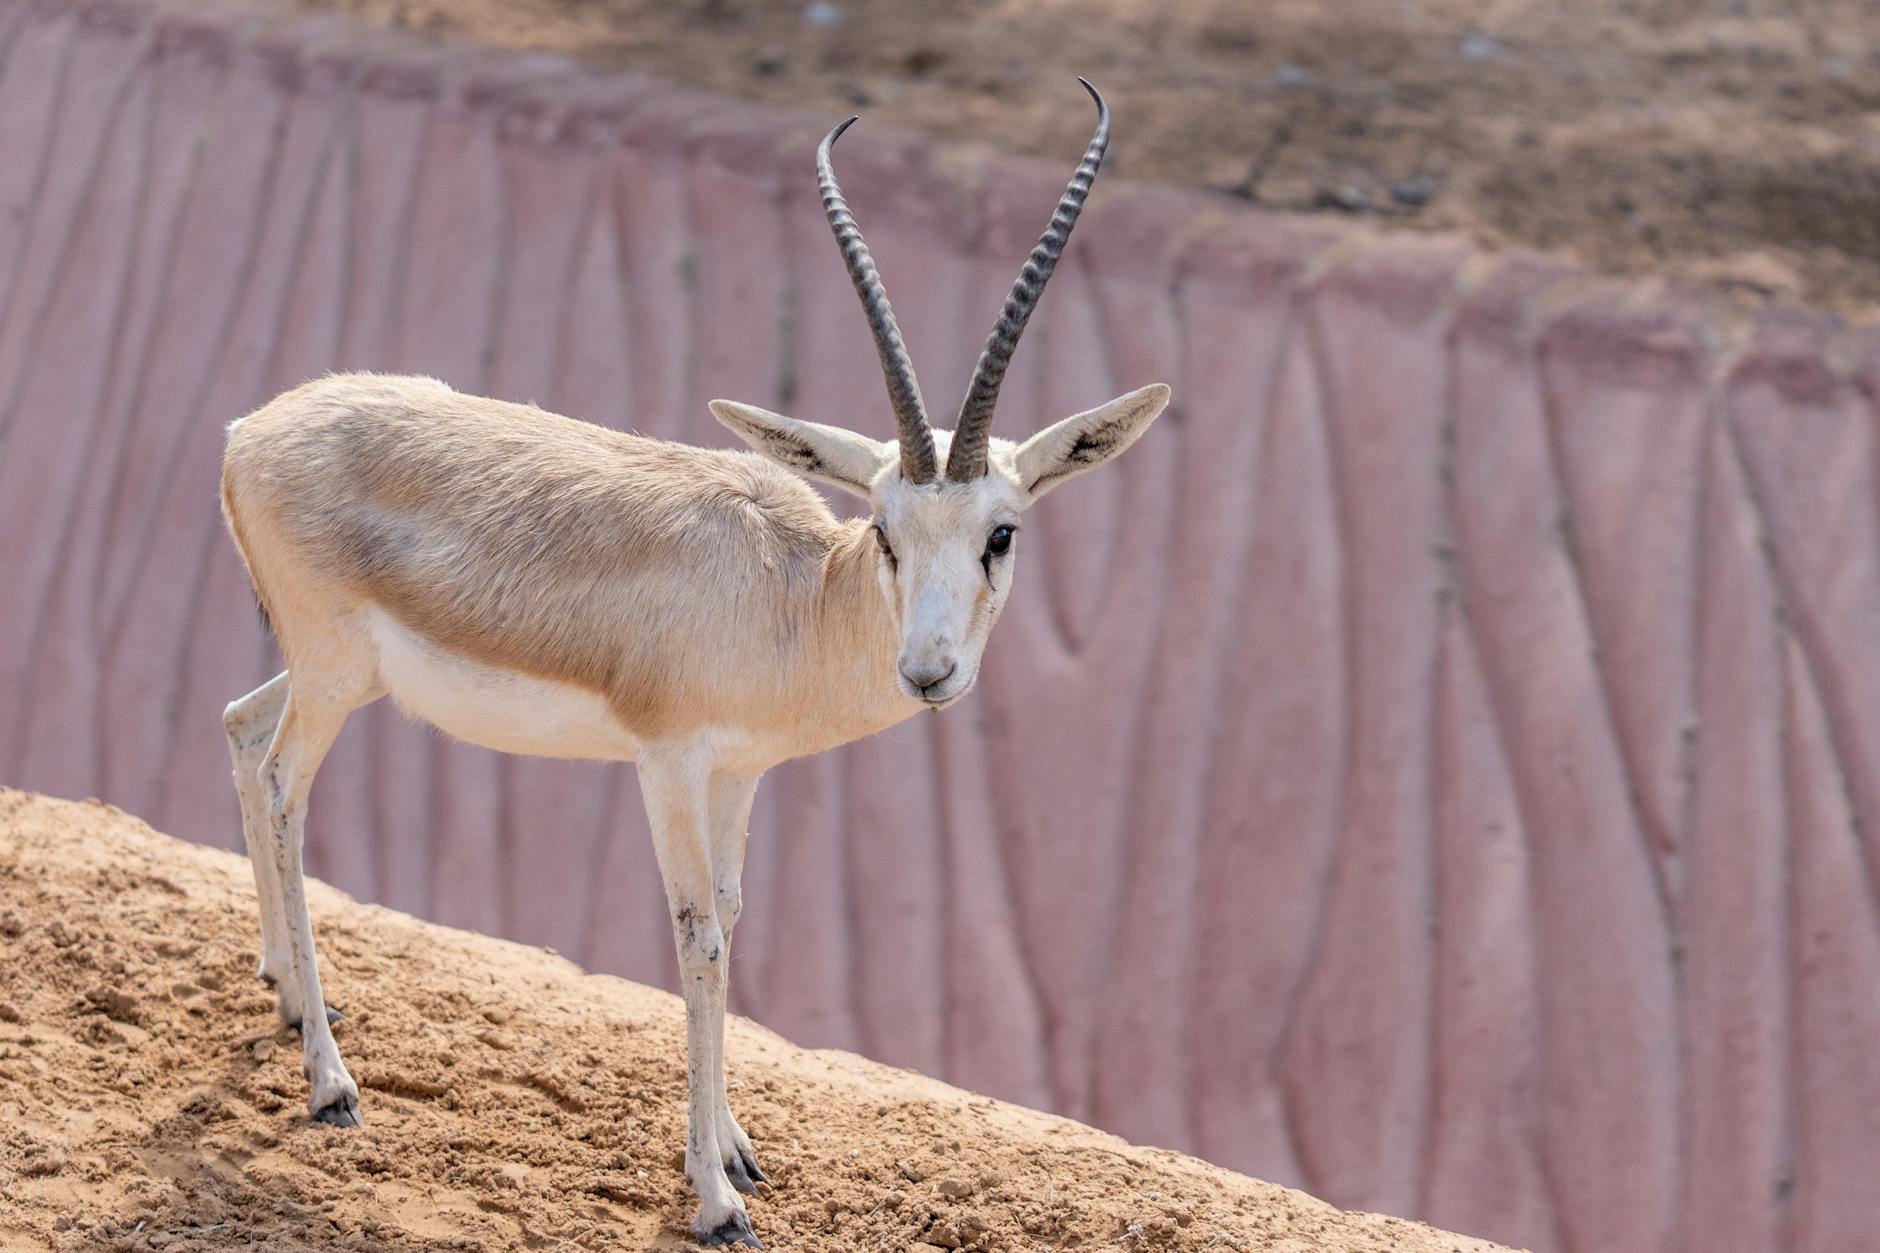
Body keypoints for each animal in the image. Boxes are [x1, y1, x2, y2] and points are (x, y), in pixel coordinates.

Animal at [218, 80, 1167, 1248]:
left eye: (1001, 531)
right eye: (885, 528)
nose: (929, 672)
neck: (788, 598)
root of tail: (250, 430)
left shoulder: (740, 773)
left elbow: (734, 914)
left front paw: (735, 1149)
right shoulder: (667, 762)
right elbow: (697, 935)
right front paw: (715, 1197)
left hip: (331, 673)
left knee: (239, 724)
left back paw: (289, 994)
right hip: (335, 677)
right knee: (282, 786)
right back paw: (330, 1082)